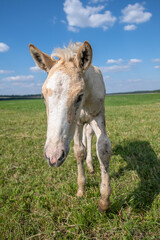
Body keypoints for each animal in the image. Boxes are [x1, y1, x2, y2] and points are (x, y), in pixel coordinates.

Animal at [28, 41, 111, 212]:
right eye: (43, 96)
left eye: (79, 95)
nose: (53, 157)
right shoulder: (78, 122)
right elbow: (79, 151)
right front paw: (81, 190)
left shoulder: (98, 114)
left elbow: (103, 148)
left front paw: (104, 200)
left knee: (89, 137)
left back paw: (91, 165)